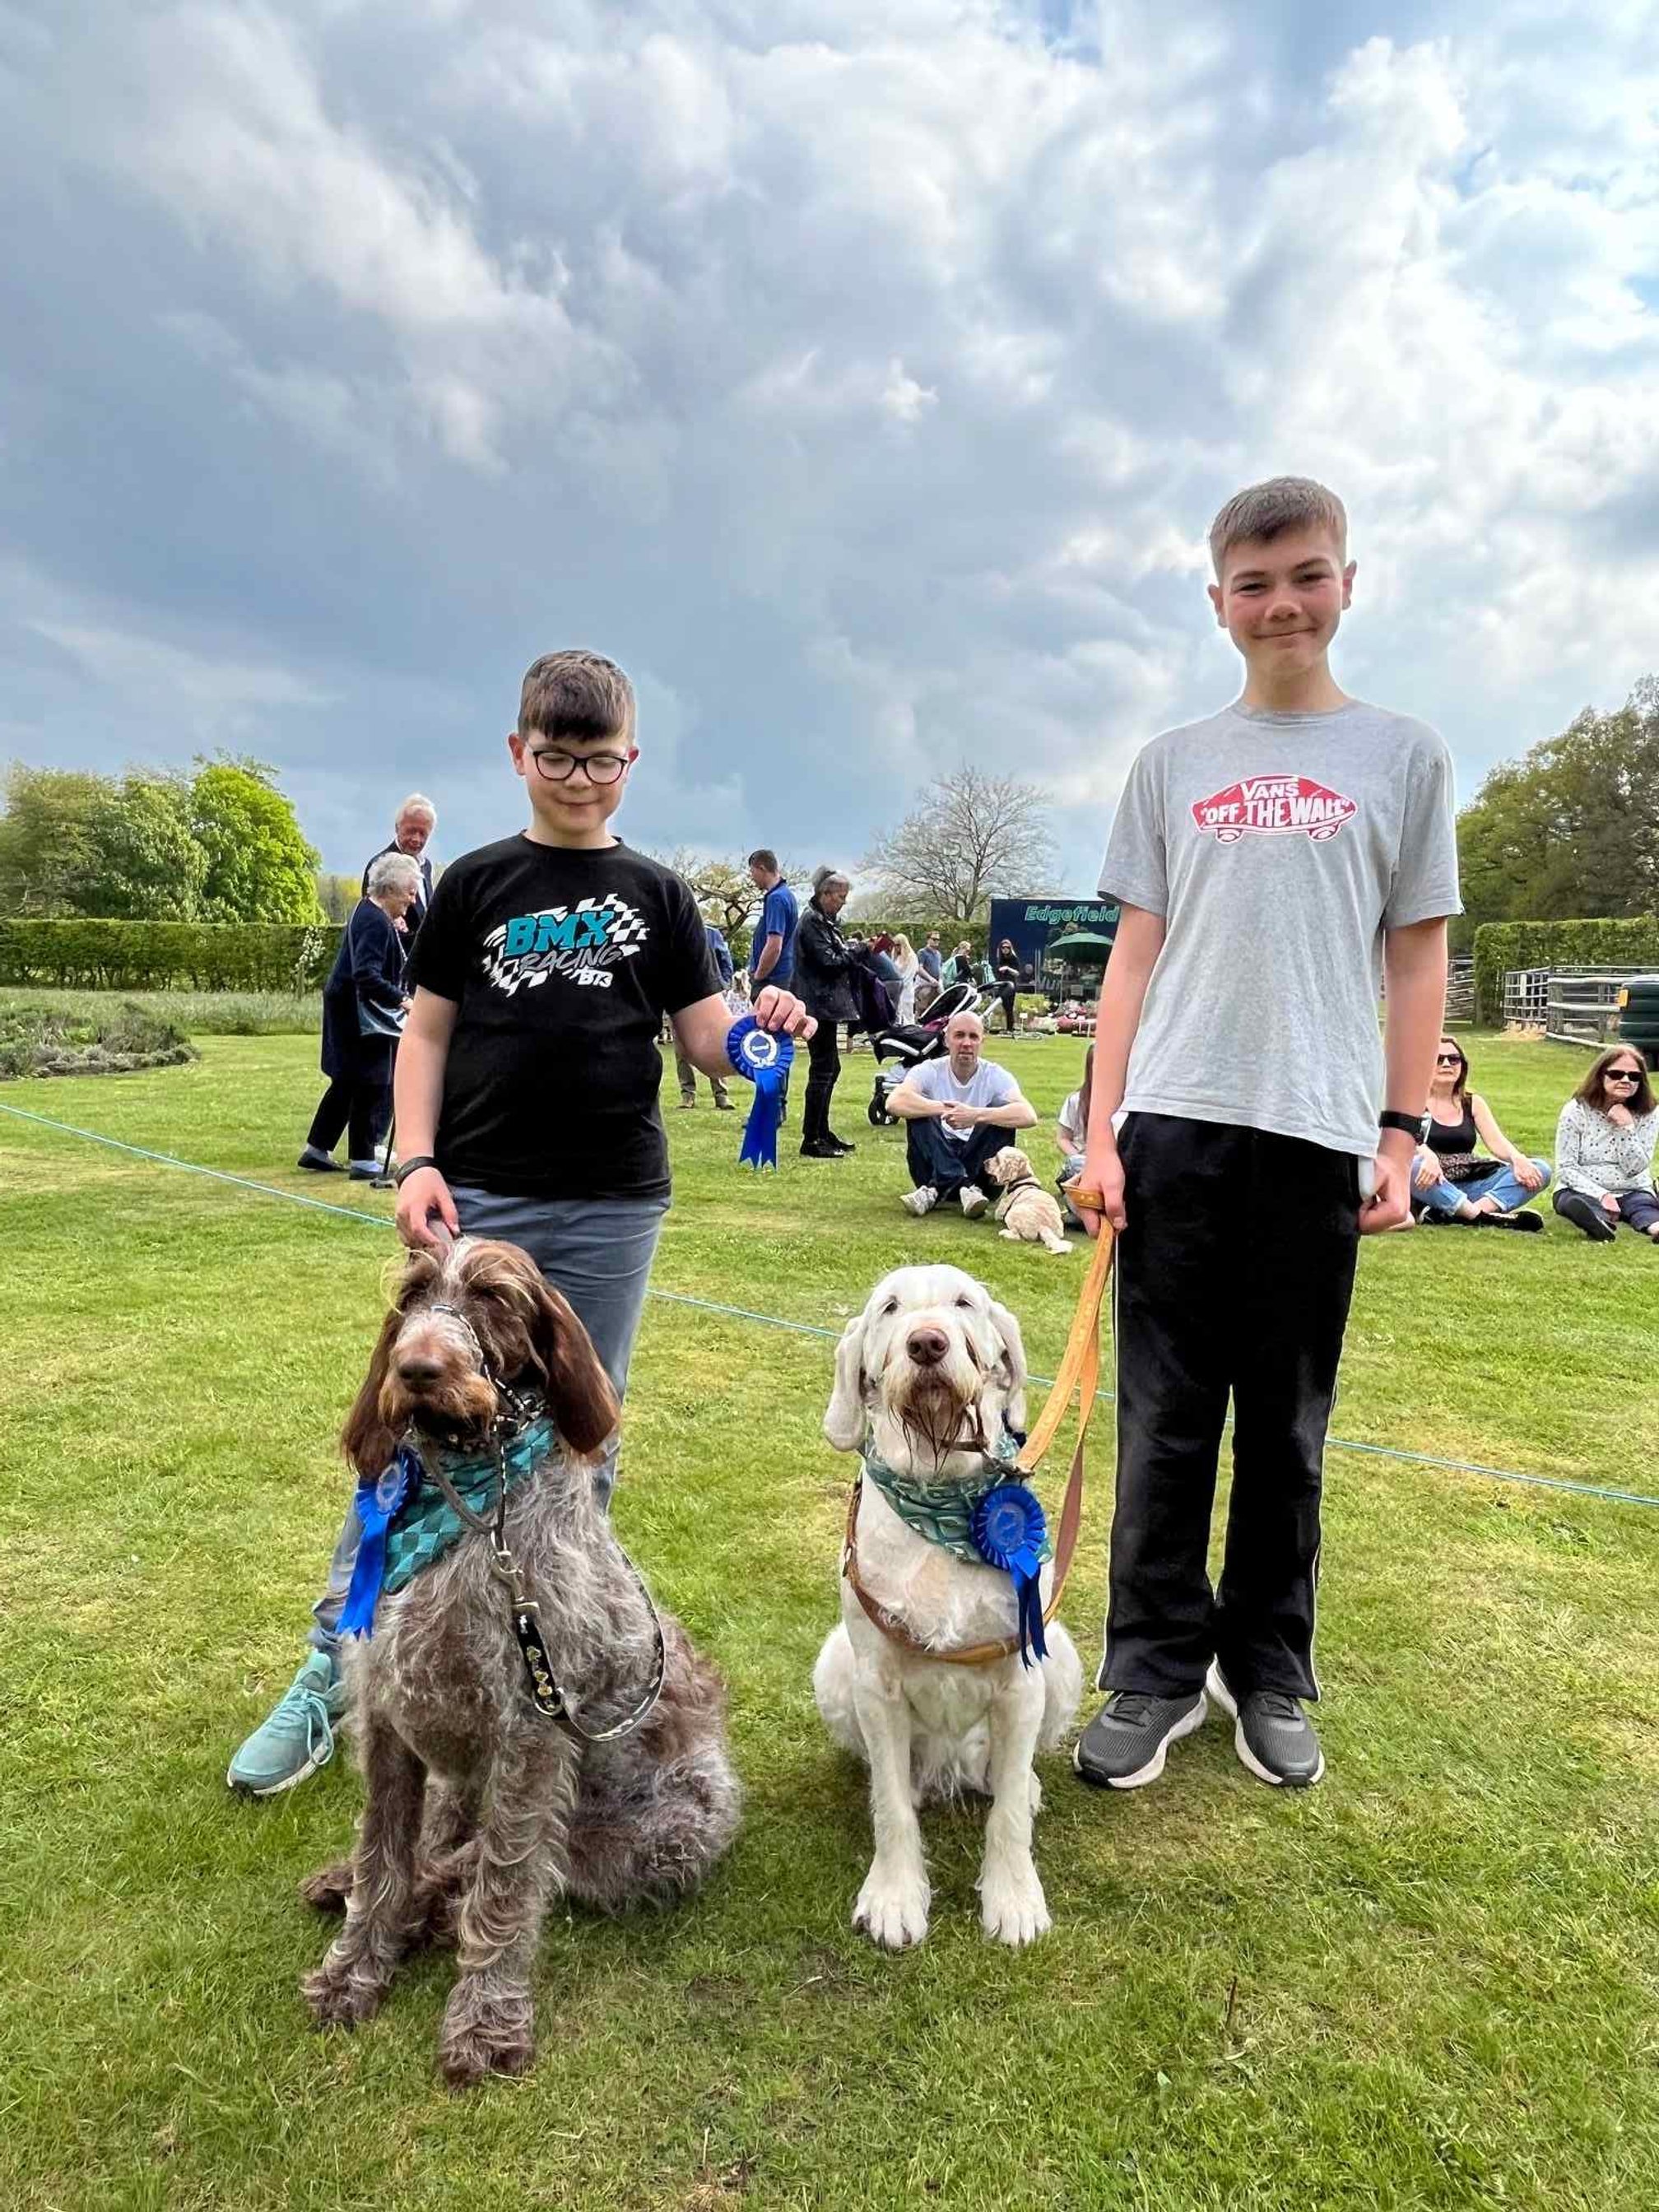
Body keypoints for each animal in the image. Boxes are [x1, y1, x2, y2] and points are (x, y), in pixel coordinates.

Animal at [298, 1248, 738, 2088]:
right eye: (413, 1294)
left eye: (494, 1298)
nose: (416, 1368)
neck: (470, 1512)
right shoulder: (388, 1720)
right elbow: (383, 1860)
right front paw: (355, 1967)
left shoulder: (530, 1735)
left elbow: (504, 1887)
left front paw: (484, 2018)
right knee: (442, 1846)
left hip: (662, 1839)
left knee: (513, 1868)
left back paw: (436, 1910)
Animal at [814, 1265, 1084, 1955]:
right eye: (889, 1308)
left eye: (964, 1303)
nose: (927, 1344)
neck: (940, 1495)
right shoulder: (877, 1685)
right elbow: (889, 1809)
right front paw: (894, 1896)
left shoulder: (1021, 1678)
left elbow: (1008, 1813)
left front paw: (1014, 1899)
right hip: (833, 1664)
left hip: (1061, 1656)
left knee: (1007, 1774)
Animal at [986, 1150, 1079, 1256]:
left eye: (997, 1159)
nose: (985, 1162)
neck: (1022, 1180)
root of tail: (1044, 1227)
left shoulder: (1001, 1210)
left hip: (1012, 1214)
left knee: (1017, 1236)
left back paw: (1004, 1233)